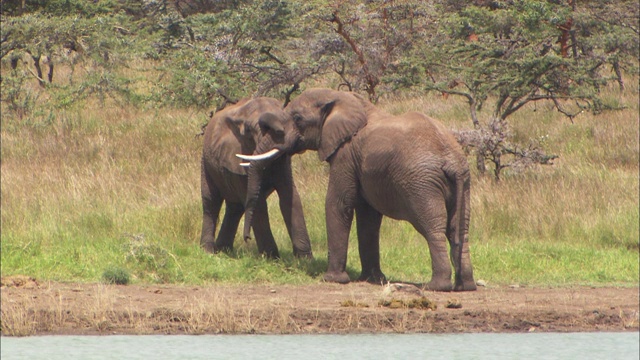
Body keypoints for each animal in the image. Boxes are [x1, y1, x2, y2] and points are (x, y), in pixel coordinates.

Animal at [199, 95, 312, 258]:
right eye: (248, 131)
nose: (247, 238)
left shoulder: (282, 161)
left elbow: (290, 197)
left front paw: (305, 259)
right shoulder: (236, 153)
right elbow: (258, 204)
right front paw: (271, 258)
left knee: (236, 207)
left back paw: (223, 249)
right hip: (206, 162)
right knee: (211, 202)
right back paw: (208, 251)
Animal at [239, 88, 476, 292]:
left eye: (298, 119)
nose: (246, 239)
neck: (343, 99)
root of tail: (451, 160)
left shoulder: (345, 154)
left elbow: (338, 203)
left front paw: (332, 280)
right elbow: (368, 217)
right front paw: (372, 279)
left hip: (422, 184)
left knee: (432, 226)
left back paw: (436, 286)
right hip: (463, 182)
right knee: (459, 229)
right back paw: (465, 286)